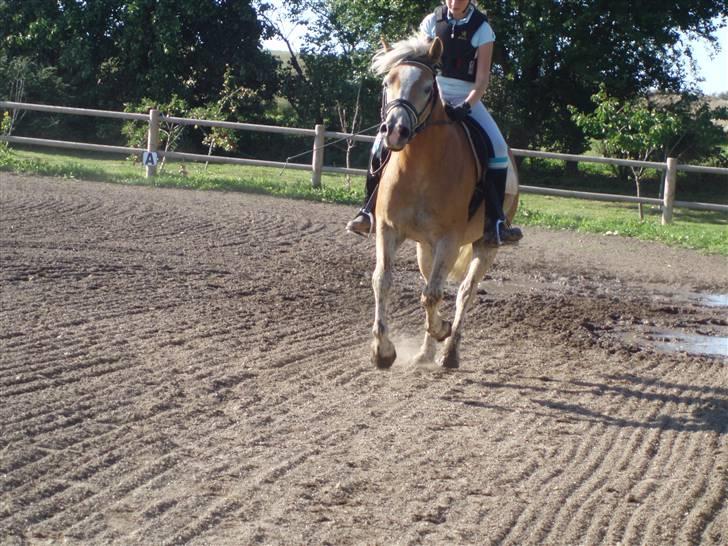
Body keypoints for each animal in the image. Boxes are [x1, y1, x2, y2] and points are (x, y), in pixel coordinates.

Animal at [370, 33, 516, 366]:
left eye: (427, 87)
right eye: (387, 82)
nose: (395, 131)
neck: (418, 167)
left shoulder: (449, 240)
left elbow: (433, 294)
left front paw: (442, 330)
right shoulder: (388, 229)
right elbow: (383, 280)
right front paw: (382, 351)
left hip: (484, 245)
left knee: (464, 291)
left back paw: (449, 352)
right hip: (425, 246)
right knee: (432, 284)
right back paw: (425, 353)